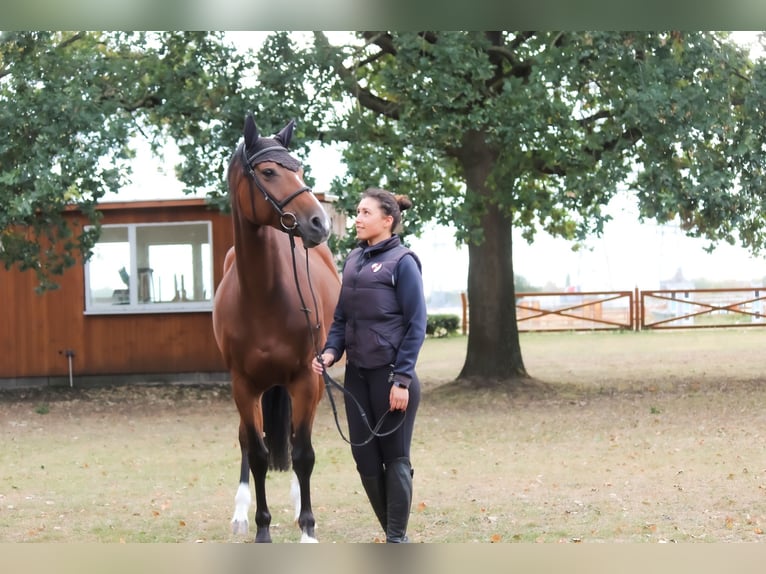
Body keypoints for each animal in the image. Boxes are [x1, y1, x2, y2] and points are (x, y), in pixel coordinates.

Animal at [212, 114, 341, 543]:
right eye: (268, 172)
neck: (263, 295)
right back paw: (240, 512)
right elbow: (256, 452)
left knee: (299, 442)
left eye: (299, 168)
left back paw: (301, 507)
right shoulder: (242, 385)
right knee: (247, 442)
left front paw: (308, 530)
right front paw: (261, 529)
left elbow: (303, 454)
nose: (319, 223)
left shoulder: (306, 378)